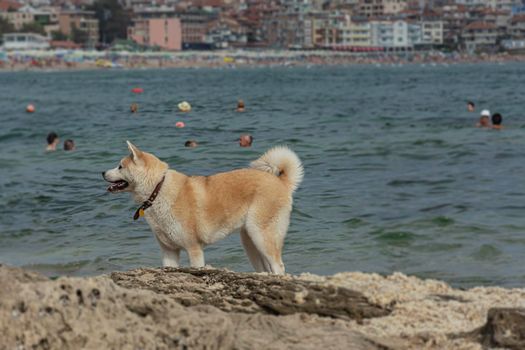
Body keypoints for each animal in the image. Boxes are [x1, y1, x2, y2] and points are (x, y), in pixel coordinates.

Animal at [101, 142, 302, 274]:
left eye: (120, 166)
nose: (102, 172)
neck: (158, 189)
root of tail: (281, 182)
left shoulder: (194, 249)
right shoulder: (169, 252)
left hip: (261, 234)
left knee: (278, 266)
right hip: (250, 241)